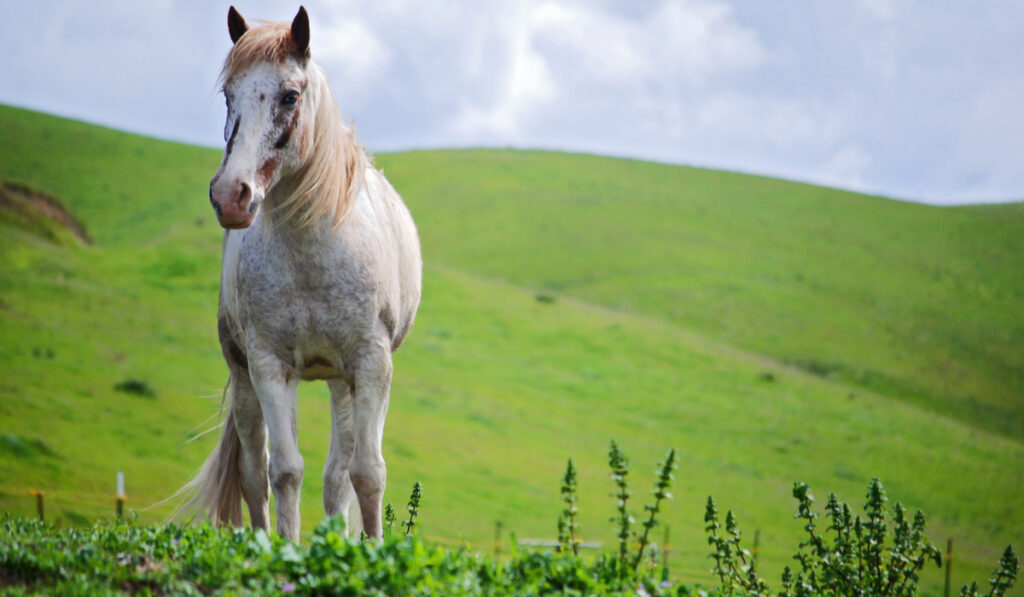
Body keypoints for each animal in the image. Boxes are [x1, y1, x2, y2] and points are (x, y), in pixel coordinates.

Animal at [176, 4, 419, 540]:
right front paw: (285, 547)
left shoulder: (371, 364)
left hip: (343, 382)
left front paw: (373, 548)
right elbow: (283, 470)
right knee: (253, 471)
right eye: (229, 95)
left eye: (290, 95)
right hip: (243, 372)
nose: (231, 196)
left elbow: (367, 475)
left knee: (339, 478)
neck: (309, 254)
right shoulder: (269, 364)